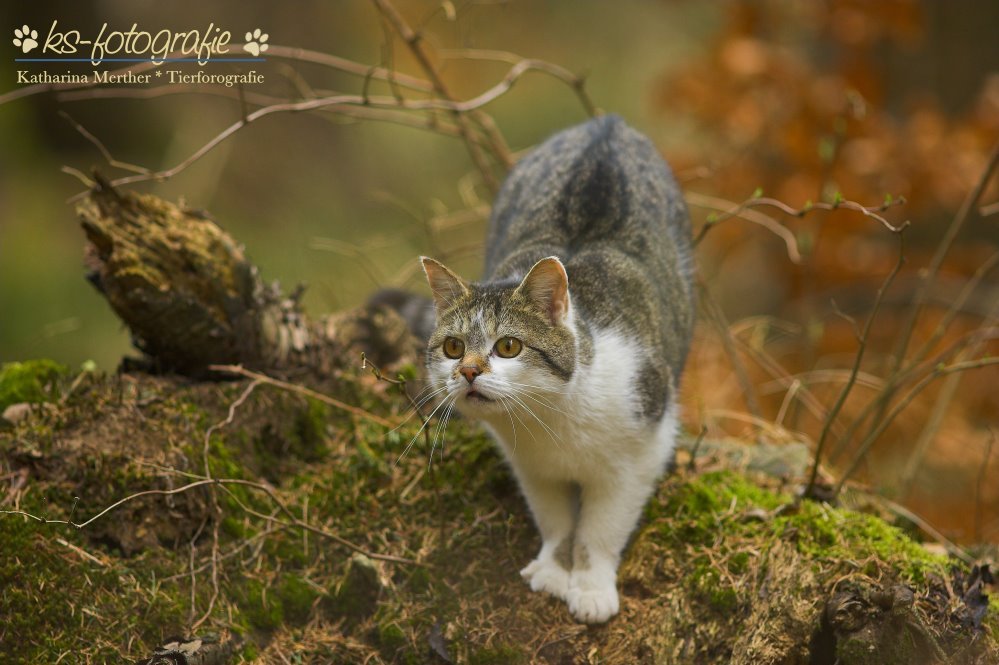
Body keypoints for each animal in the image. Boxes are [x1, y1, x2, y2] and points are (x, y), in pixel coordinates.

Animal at [418, 113, 692, 624]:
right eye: (453, 346)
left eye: (508, 346)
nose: (467, 372)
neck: (551, 417)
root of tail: (606, 123)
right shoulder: (530, 466)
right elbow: (556, 520)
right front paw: (552, 571)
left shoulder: (641, 451)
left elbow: (600, 529)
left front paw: (590, 588)